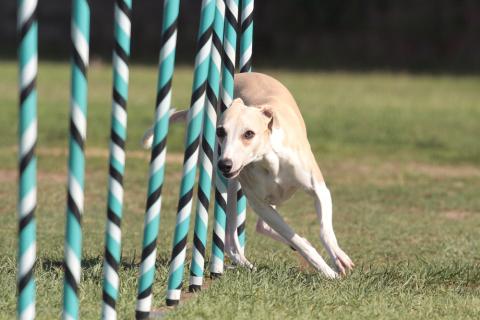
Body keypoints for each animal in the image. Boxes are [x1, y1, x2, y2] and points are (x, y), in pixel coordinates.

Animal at [142, 72, 352, 278]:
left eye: (249, 134)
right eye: (220, 131)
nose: (224, 164)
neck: (270, 158)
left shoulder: (318, 189)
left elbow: (324, 230)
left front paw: (338, 258)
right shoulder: (260, 204)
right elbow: (296, 240)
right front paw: (327, 271)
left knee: (261, 227)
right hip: (230, 190)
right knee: (231, 238)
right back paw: (245, 263)